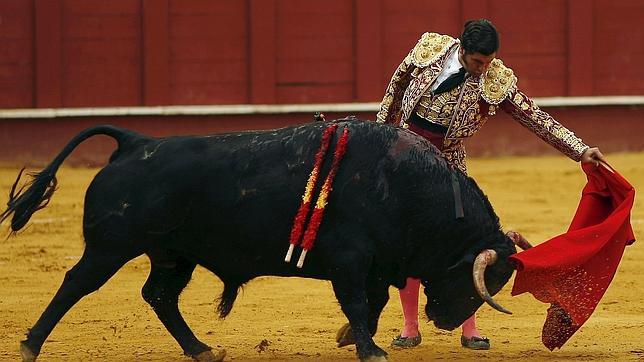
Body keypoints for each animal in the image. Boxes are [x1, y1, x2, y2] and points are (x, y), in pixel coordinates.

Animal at [0, 120, 512, 360]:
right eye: (474, 281)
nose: (446, 321)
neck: (403, 185)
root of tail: (135, 142)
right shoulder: (349, 260)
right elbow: (357, 302)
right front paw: (370, 349)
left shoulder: (372, 264)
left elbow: (374, 301)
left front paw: (353, 338)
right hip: (110, 249)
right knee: (75, 284)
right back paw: (30, 345)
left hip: (174, 255)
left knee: (160, 295)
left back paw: (202, 349)